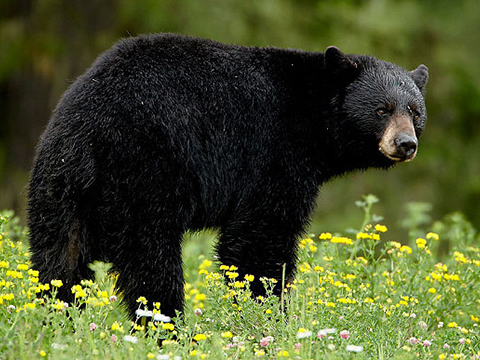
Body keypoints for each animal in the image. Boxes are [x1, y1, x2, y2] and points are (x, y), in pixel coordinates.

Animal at [28, 33, 430, 320]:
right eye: (382, 110)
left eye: (415, 112)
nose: (406, 143)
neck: (312, 119)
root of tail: (86, 130)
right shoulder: (273, 151)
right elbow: (260, 238)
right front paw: (268, 316)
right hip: (144, 174)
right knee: (151, 262)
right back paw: (170, 330)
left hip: (58, 188)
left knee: (58, 260)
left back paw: (57, 323)